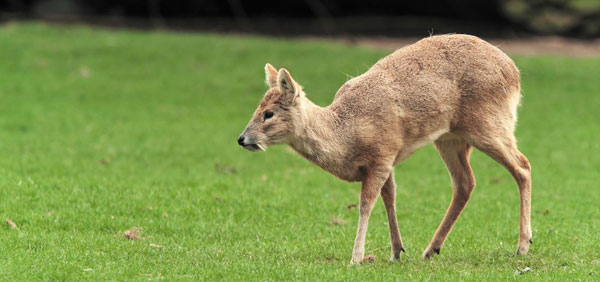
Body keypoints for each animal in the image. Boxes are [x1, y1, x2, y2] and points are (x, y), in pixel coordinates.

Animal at [237, 34, 532, 266]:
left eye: (268, 113)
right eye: (257, 108)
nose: (242, 139)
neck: (345, 134)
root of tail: (515, 73)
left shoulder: (381, 154)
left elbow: (366, 203)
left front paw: (356, 258)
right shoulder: (387, 158)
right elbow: (389, 197)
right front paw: (396, 251)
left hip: (489, 124)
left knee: (523, 166)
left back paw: (523, 245)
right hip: (450, 138)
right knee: (465, 182)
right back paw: (431, 249)